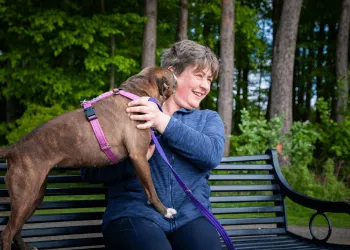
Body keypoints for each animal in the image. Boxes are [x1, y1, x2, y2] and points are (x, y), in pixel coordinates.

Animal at [0, 66, 178, 250]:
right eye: (169, 72)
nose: (174, 70)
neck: (137, 92)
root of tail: (14, 149)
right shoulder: (138, 155)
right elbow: (151, 188)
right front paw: (165, 211)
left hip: (34, 197)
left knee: (16, 229)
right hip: (25, 197)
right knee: (6, 233)